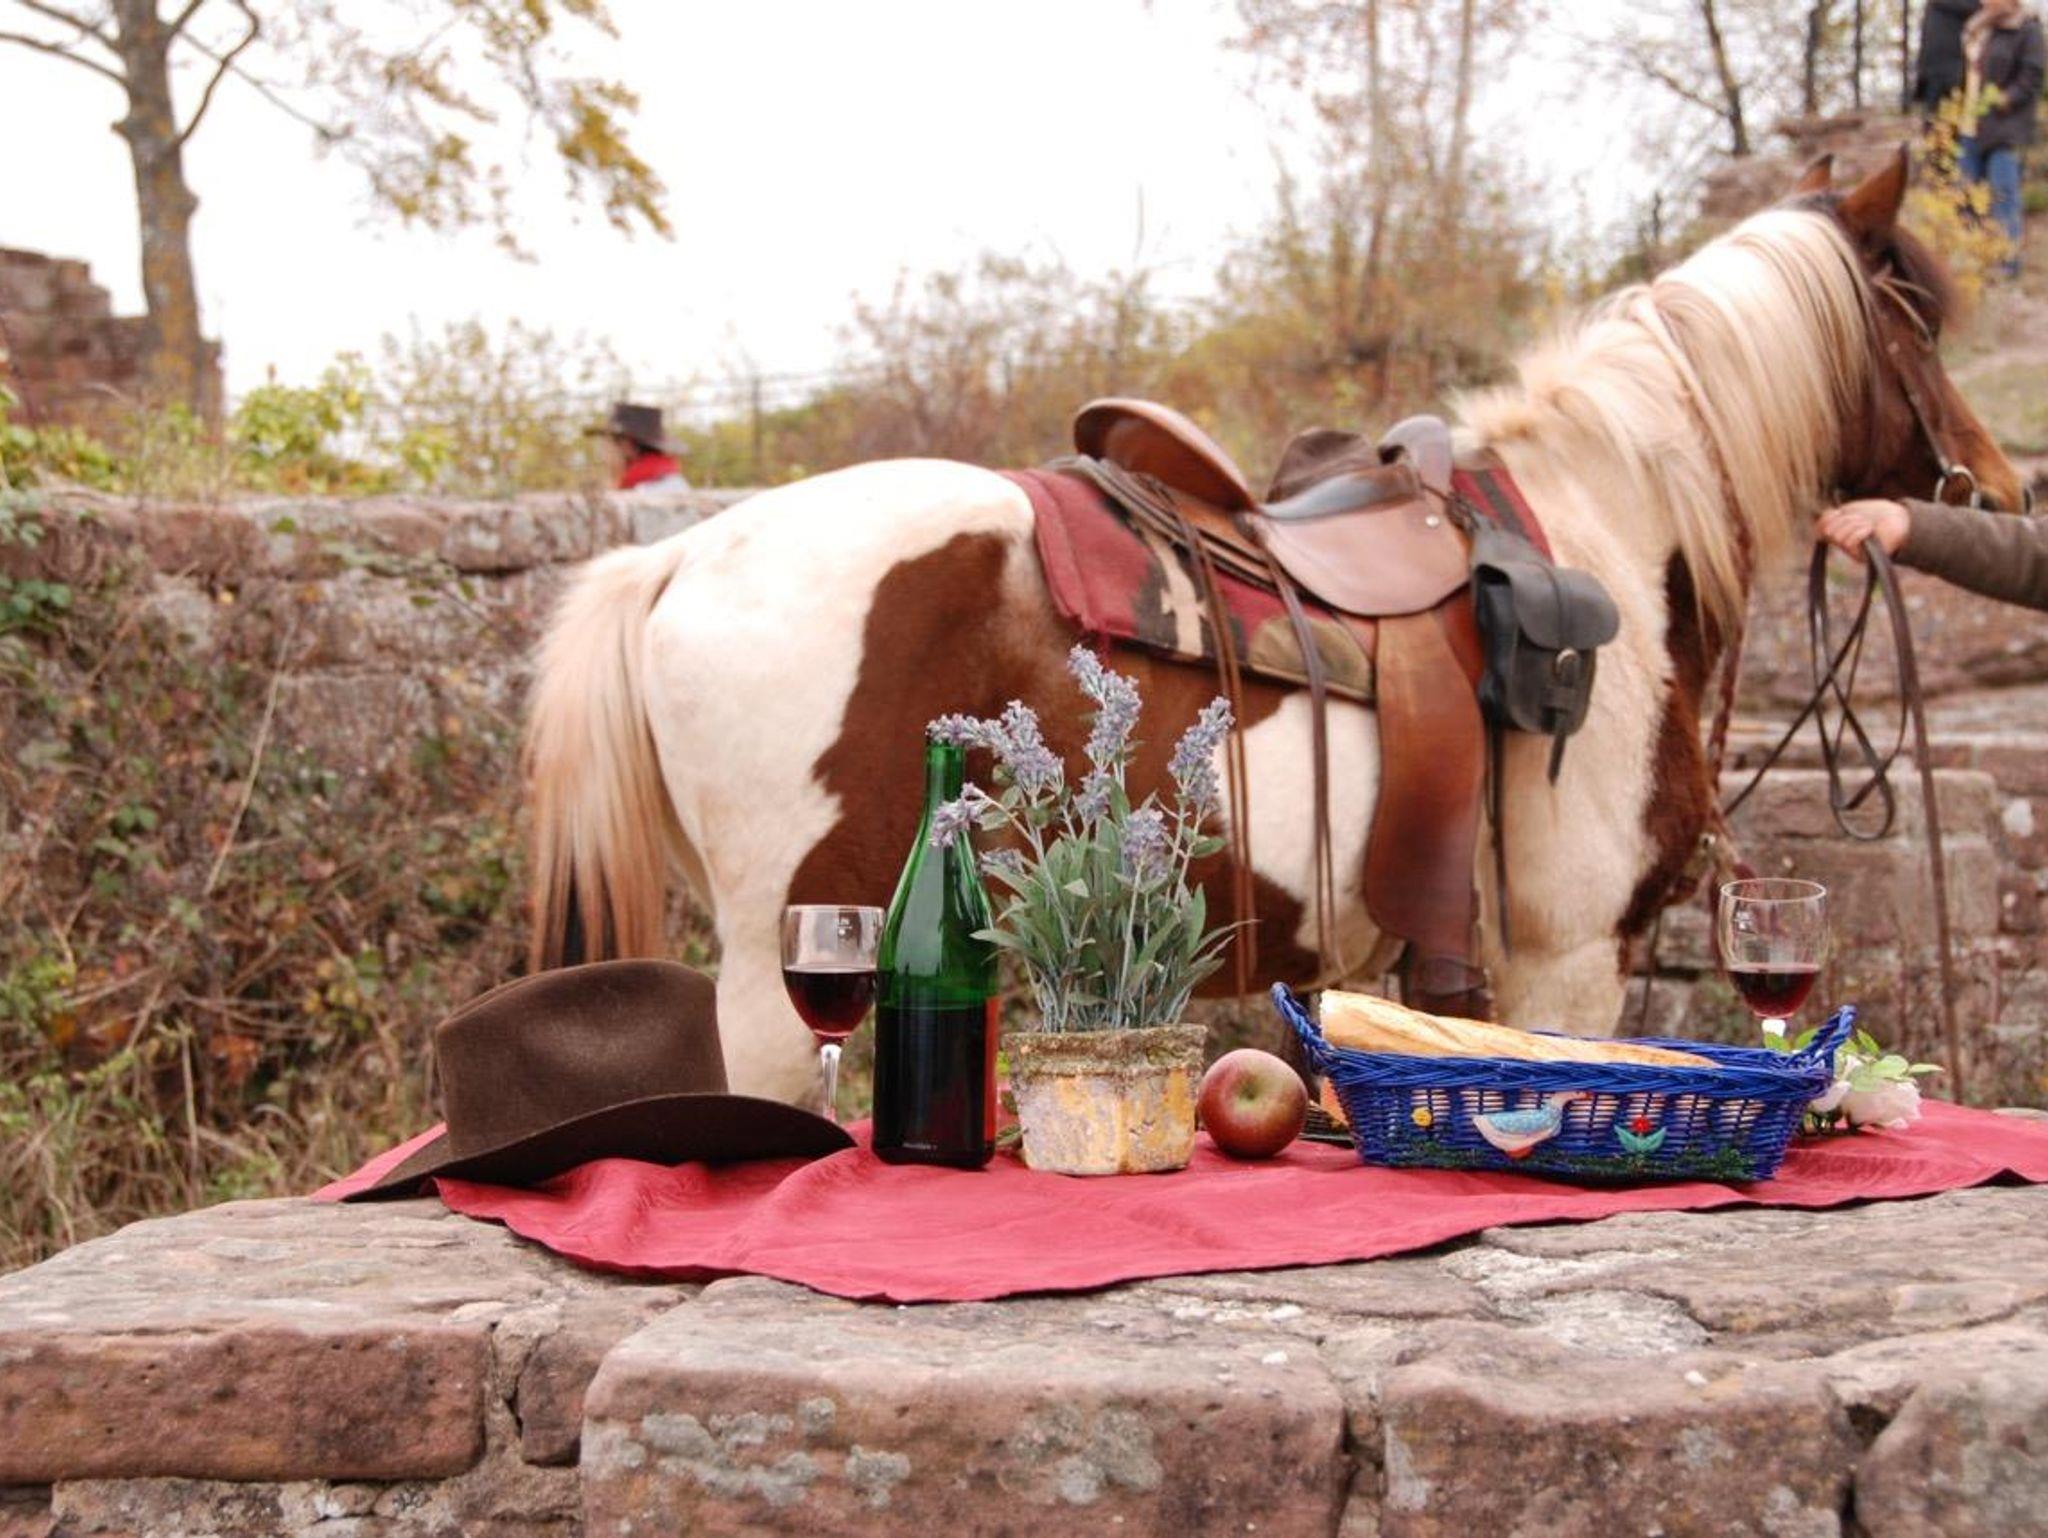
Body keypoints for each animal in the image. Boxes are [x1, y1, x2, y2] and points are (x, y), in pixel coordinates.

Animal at [524, 151, 2023, 1107]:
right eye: (1916, 314)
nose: (1995, 486)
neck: (1605, 527)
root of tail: (677, 557)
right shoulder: (1570, 953)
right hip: (784, 965)